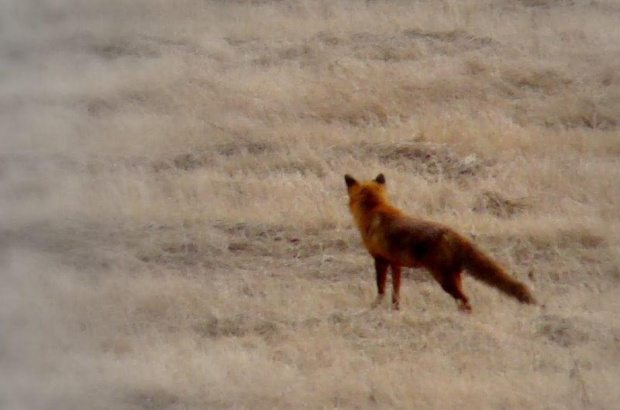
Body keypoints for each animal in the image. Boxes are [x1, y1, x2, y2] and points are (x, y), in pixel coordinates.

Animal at [344, 174, 536, 314]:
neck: (375, 210)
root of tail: (453, 234)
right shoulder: (396, 264)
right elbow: (396, 291)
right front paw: (395, 309)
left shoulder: (380, 260)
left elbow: (381, 288)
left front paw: (375, 307)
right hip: (453, 277)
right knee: (463, 300)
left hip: (444, 279)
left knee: (466, 301)